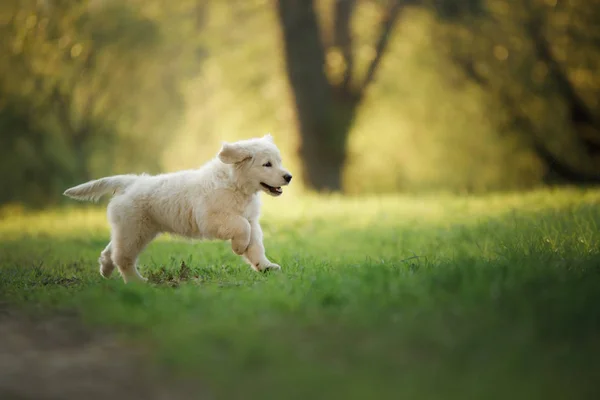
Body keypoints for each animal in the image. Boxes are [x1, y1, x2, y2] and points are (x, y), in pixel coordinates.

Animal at [63, 135, 292, 284]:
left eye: (279, 162)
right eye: (267, 164)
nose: (289, 177)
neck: (235, 184)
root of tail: (130, 182)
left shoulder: (252, 220)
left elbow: (255, 245)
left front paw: (265, 266)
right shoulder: (213, 218)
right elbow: (242, 227)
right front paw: (239, 247)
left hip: (133, 229)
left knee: (111, 251)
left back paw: (106, 270)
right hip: (134, 230)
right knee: (123, 257)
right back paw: (136, 282)